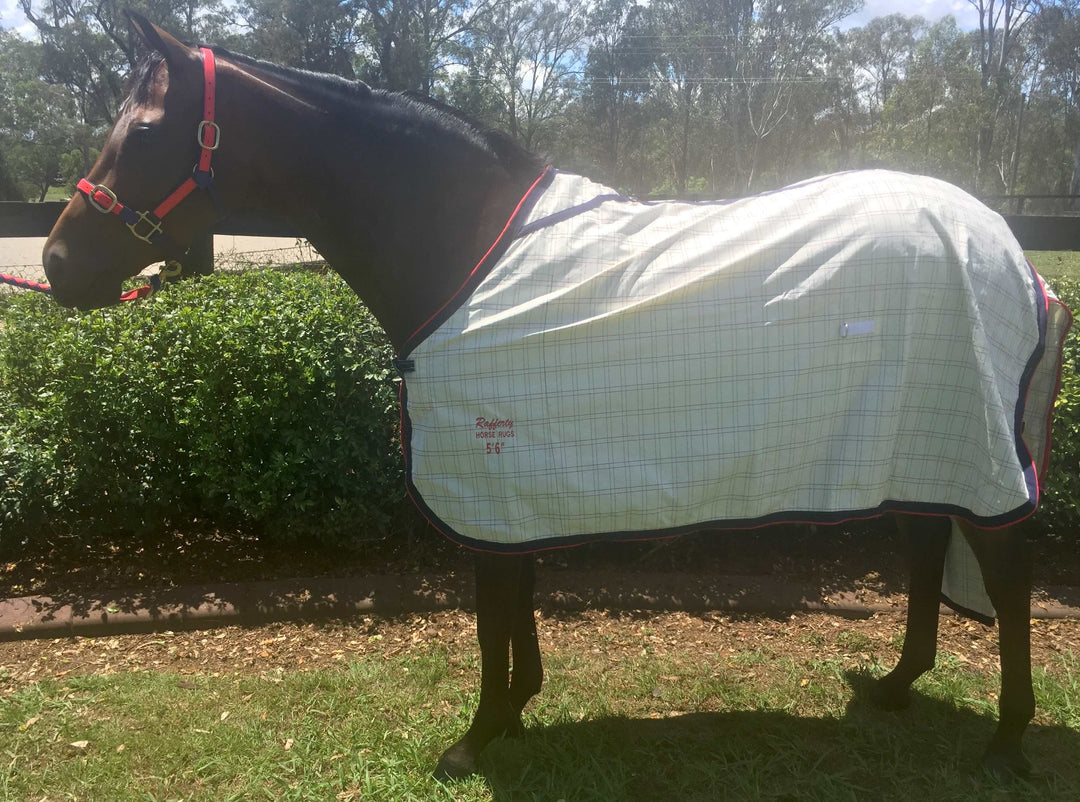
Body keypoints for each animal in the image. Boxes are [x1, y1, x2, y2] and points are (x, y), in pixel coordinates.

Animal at [41, 14, 1071, 781]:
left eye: (142, 132)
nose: (56, 265)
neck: (458, 249)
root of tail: (1010, 250)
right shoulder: (511, 478)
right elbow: (516, 592)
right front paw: (515, 713)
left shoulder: (486, 469)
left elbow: (495, 605)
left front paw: (477, 735)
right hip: (920, 440)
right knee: (927, 549)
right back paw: (896, 688)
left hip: (977, 450)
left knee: (1004, 577)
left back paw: (1005, 739)